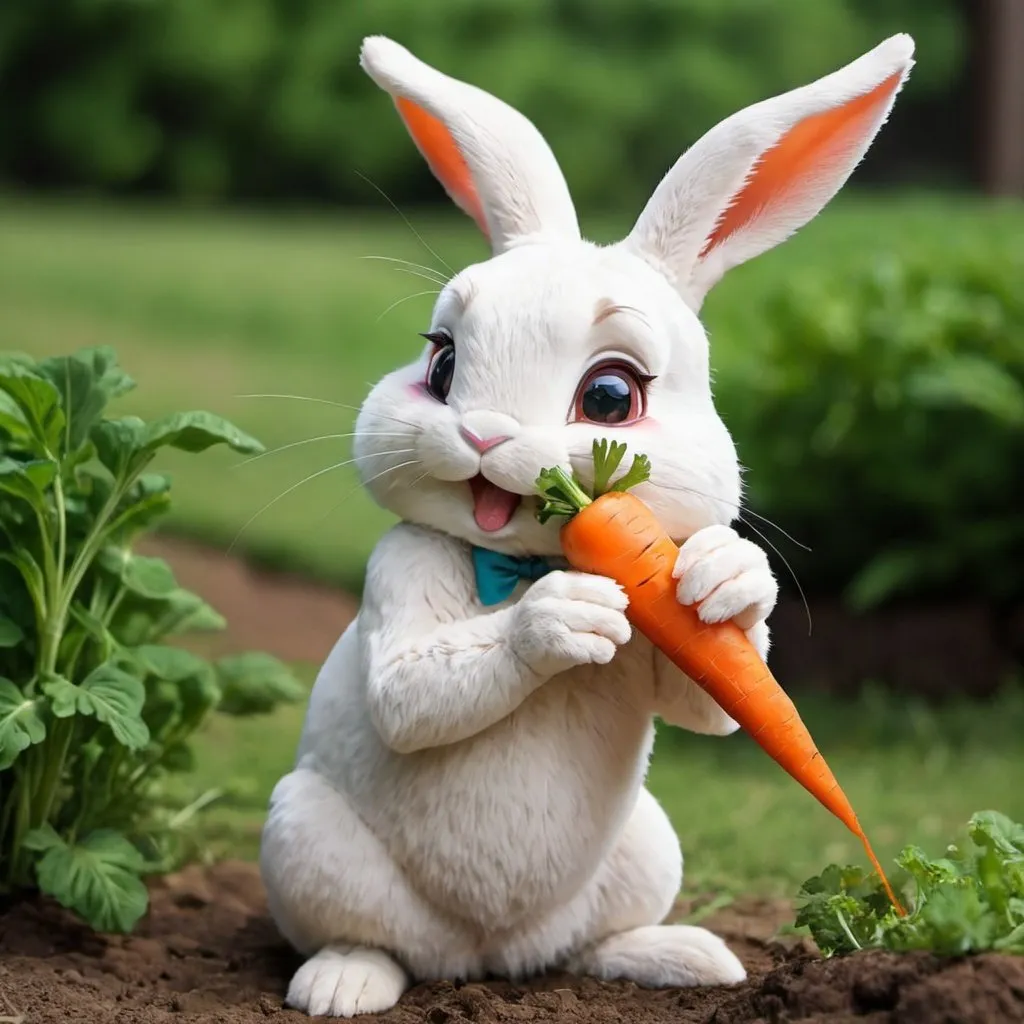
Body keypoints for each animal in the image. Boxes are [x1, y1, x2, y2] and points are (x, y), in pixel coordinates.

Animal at [260, 32, 917, 1015]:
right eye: (441, 364)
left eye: (611, 396)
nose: (482, 434)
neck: (531, 559)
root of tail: (493, 957)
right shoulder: (402, 571)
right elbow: (410, 692)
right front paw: (563, 619)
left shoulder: (676, 656)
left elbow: (715, 701)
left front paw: (727, 577)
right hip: (304, 835)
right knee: (368, 937)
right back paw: (343, 982)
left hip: (647, 845)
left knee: (593, 940)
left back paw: (682, 956)